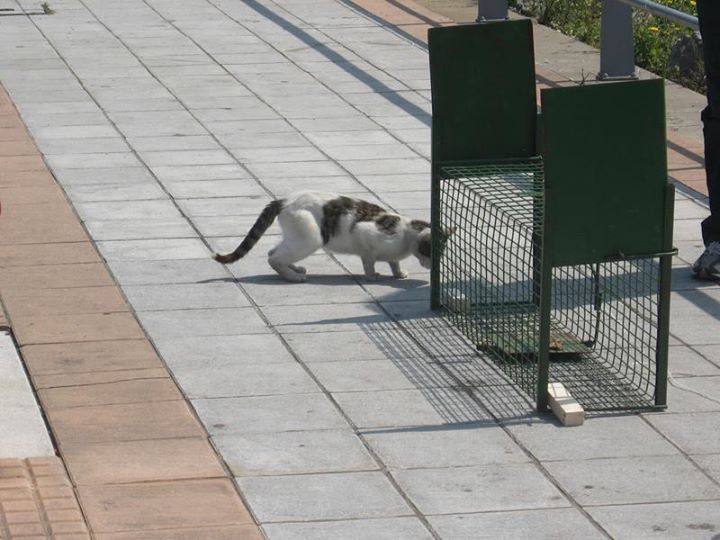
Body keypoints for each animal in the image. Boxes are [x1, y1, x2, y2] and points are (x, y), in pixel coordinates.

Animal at [211, 190, 444, 282]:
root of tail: (285, 200)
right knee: (274, 257)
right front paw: (371, 275)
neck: (408, 233)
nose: (432, 267)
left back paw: (295, 269)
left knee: (273, 251)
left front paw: (398, 272)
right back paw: (293, 277)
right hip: (311, 237)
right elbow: (368, 260)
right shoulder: (365, 234)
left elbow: (393, 262)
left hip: (296, 236)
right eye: (430, 252)